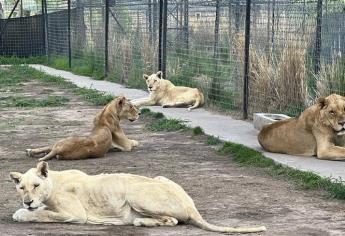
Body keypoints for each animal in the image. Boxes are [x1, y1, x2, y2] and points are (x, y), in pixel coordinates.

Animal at [9, 161, 264, 233]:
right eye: (21, 187)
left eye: (36, 185)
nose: (27, 201)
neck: (53, 182)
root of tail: (192, 206)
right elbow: (43, 211)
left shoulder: (76, 214)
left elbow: (42, 215)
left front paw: (22, 212)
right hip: (160, 177)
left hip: (134, 192)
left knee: (172, 220)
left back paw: (138, 221)